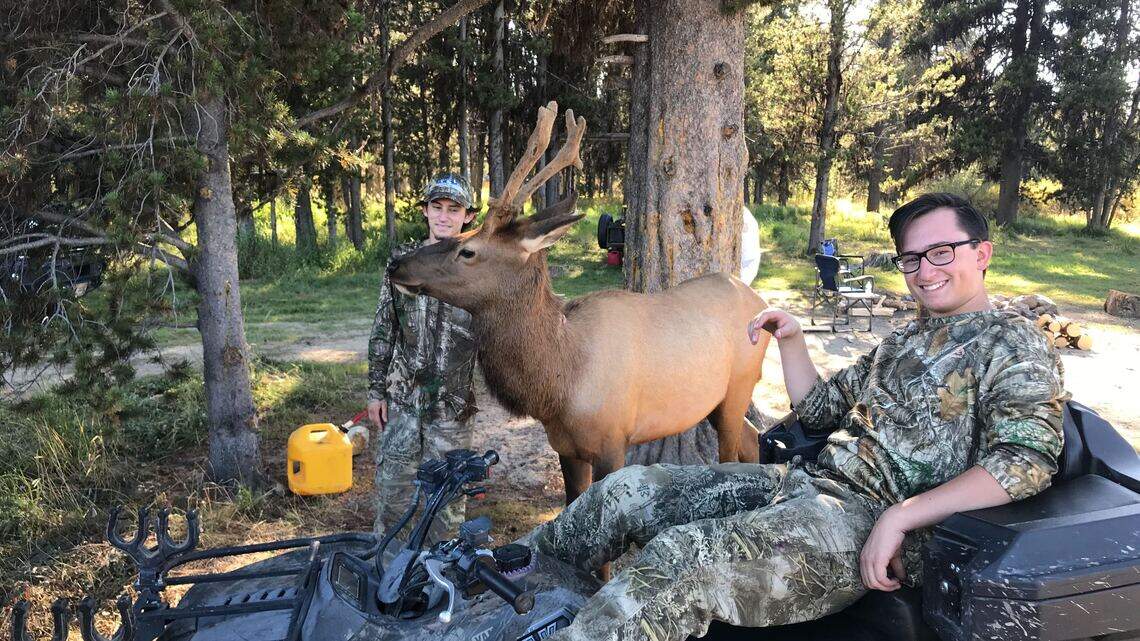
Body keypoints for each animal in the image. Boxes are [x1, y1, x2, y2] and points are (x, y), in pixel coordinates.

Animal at [387, 102, 772, 504]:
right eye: (462, 231)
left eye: (468, 250)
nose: (396, 264)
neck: (559, 385)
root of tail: (758, 300)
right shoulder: (565, 447)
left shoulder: (613, 441)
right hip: (713, 400)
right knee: (752, 439)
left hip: (740, 383)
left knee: (733, 450)